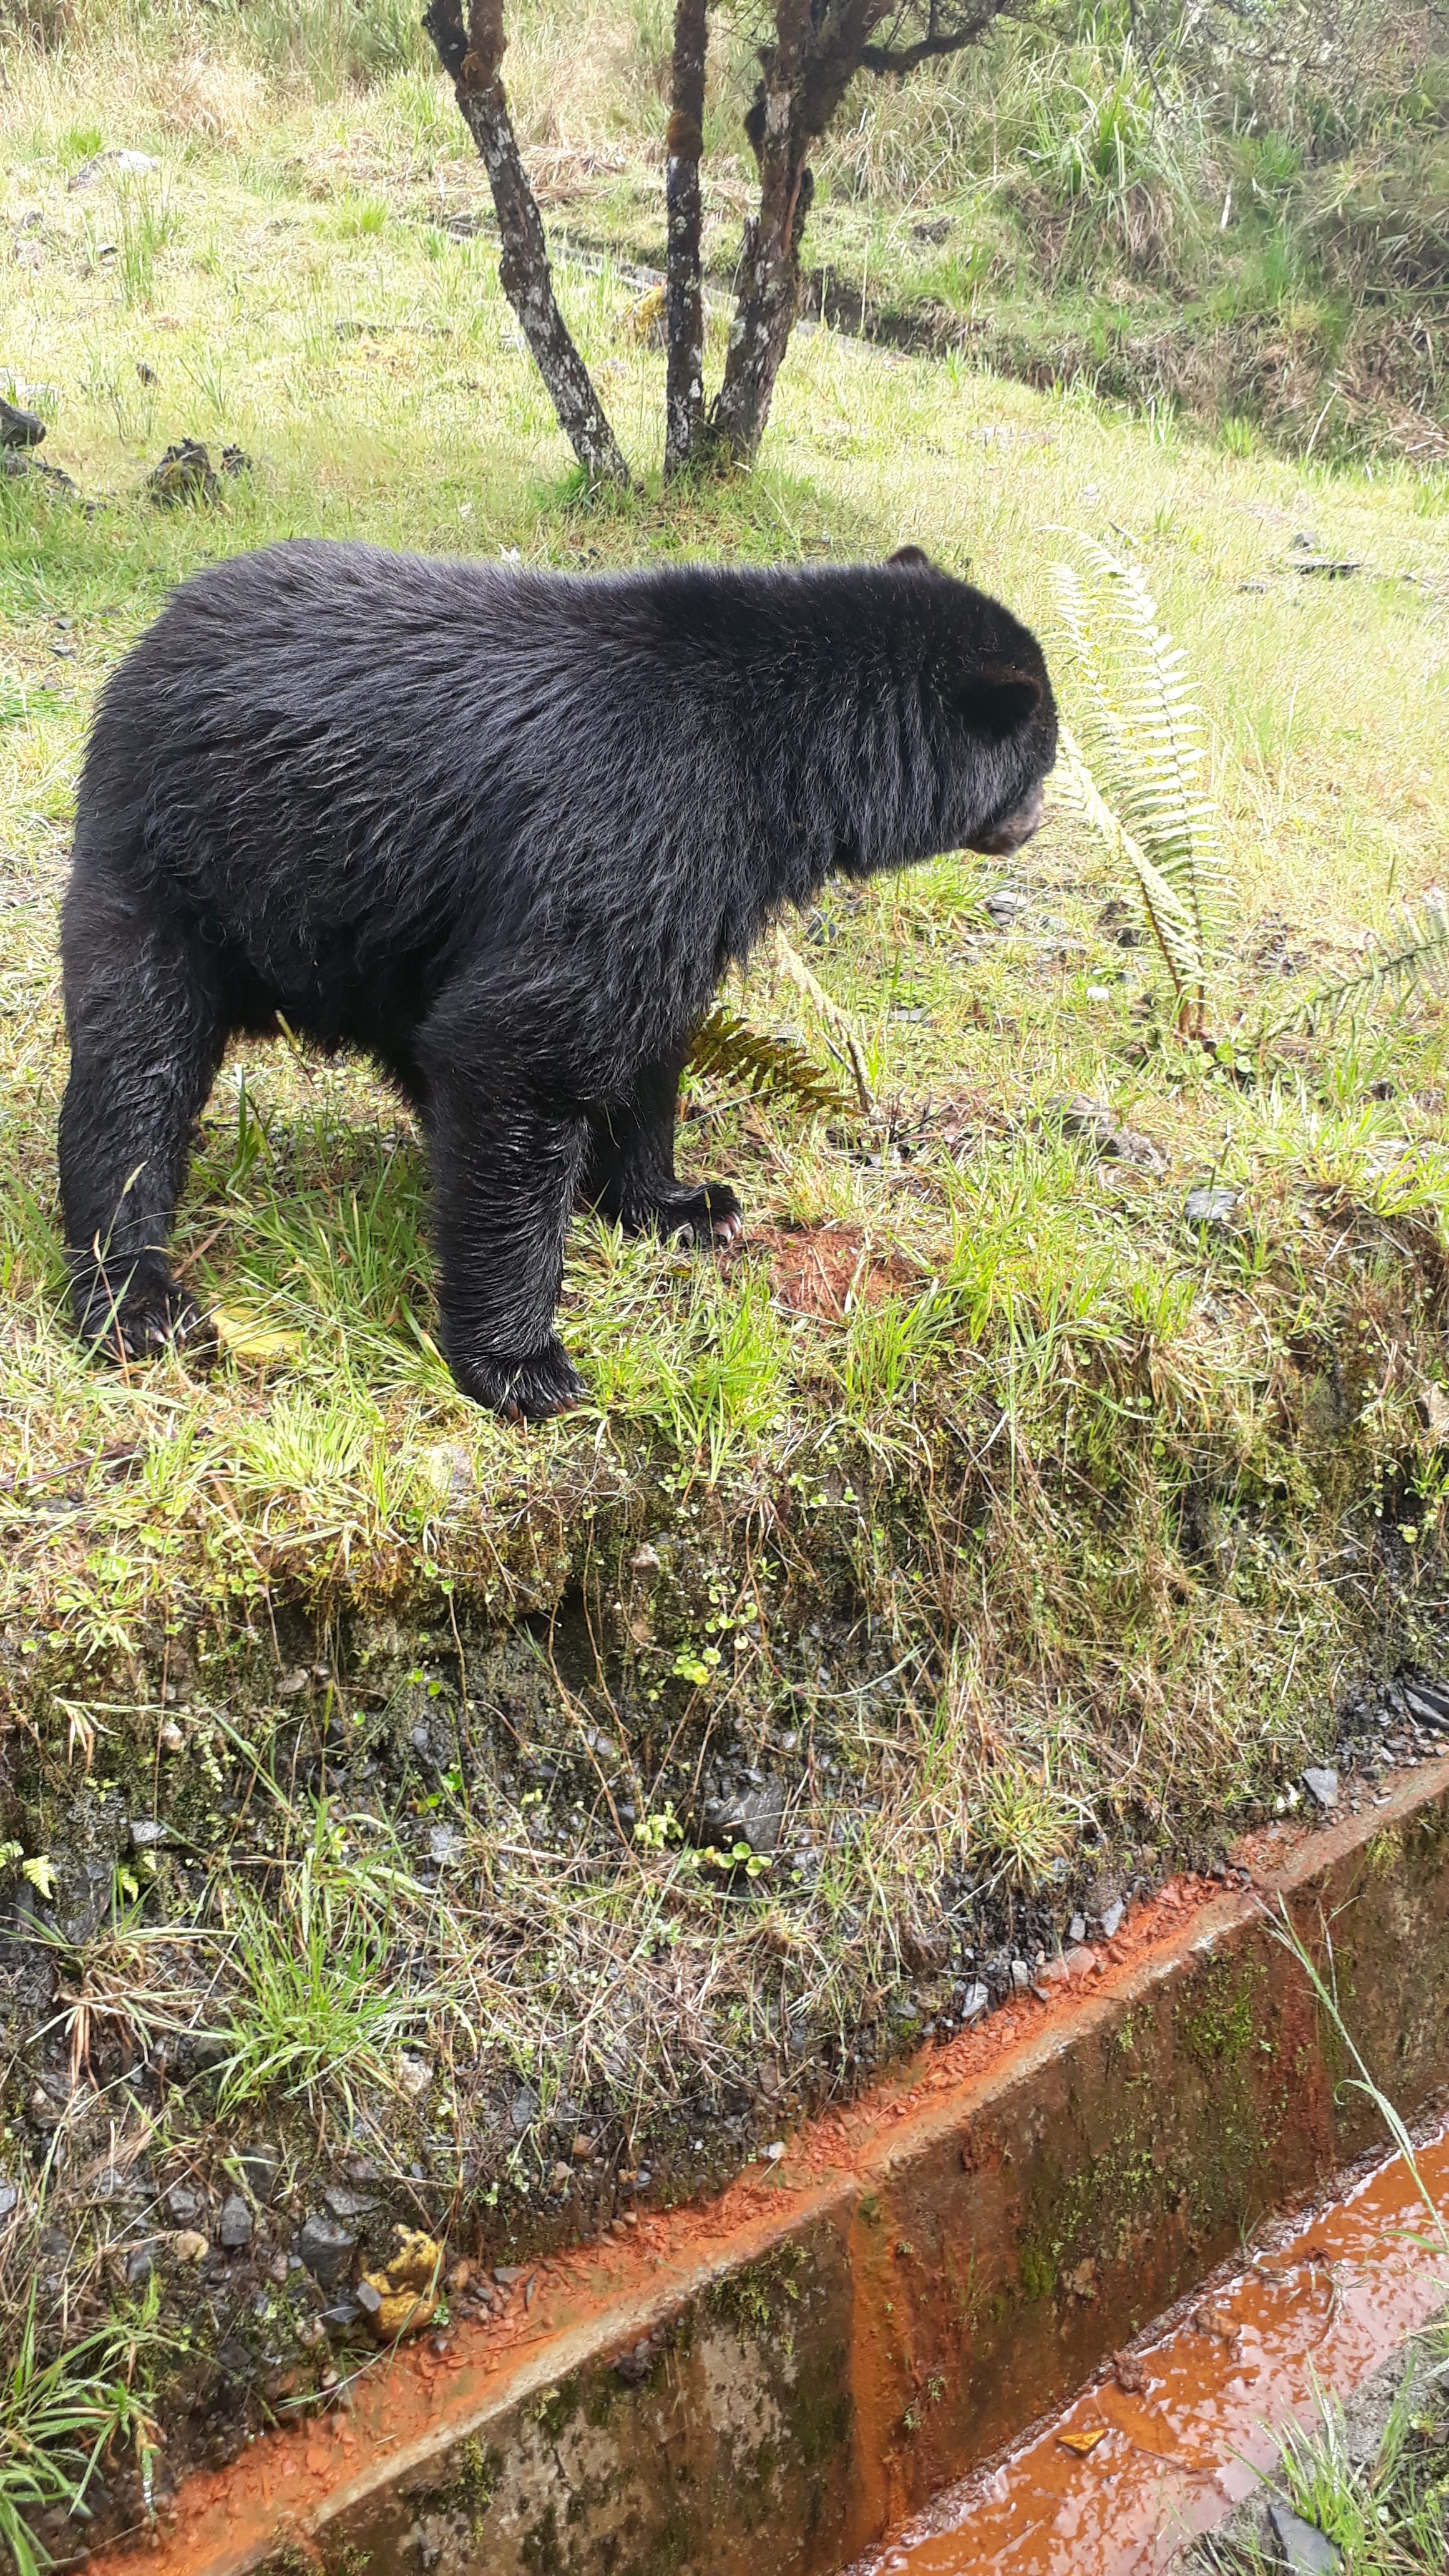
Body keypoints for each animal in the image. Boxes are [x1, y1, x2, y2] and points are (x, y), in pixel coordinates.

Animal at [59, 540, 1046, 1422]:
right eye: (1041, 759)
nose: (1031, 824)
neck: (778, 766)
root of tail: (162, 627)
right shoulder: (631, 830)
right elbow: (525, 1043)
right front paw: (525, 1365)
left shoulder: (685, 895)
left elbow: (647, 1043)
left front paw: (681, 1206)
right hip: (175, 866)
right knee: (135, 1074)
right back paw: (137, 1301)